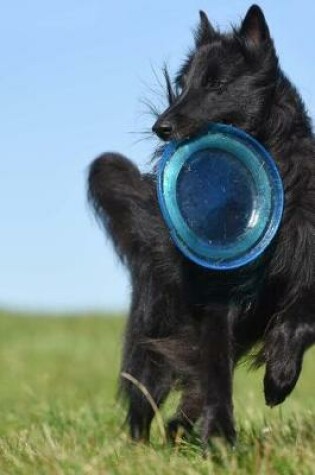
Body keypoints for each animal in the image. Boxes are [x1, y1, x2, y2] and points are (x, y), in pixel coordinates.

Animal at [88, 5, 315, 446]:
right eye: (183, 85)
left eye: (217, 85)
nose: (161, 127)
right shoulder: (216, 302)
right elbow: (215, 370)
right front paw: (222, 438)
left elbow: (300, 321)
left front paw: (279, 376)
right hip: (155, 331)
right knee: (146, 395)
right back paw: (143, 447)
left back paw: (181, 431)